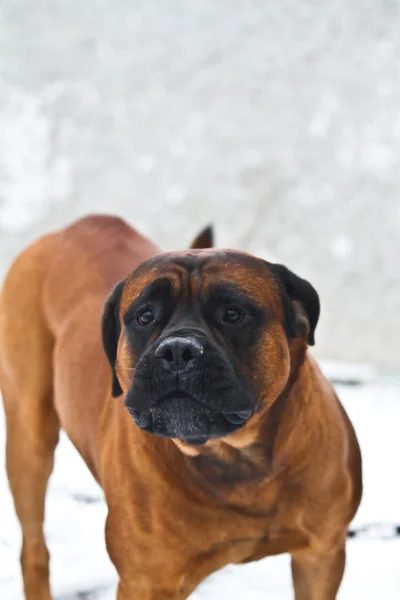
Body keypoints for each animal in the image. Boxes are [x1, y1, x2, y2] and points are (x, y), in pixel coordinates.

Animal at [0, 217, 362, 600]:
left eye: (233, 314)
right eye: (144, 316)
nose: (176, 350)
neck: (237, 460)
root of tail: (79, 224)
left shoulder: (321, 556)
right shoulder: (147, 581)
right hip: (29, 443)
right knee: (34, 547)